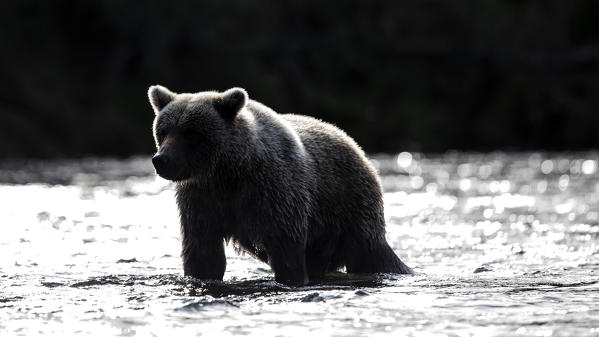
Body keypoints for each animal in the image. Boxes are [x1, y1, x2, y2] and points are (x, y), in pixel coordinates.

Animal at [150, 85, 412, 284]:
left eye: (190, 133)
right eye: (163, 131)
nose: (161, 159)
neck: (228, 173)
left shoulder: (274, 191)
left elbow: (286, 248)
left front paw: (292, 278)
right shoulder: (201, 200)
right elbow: (203, 253)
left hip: (349, 206)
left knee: (371, 253)